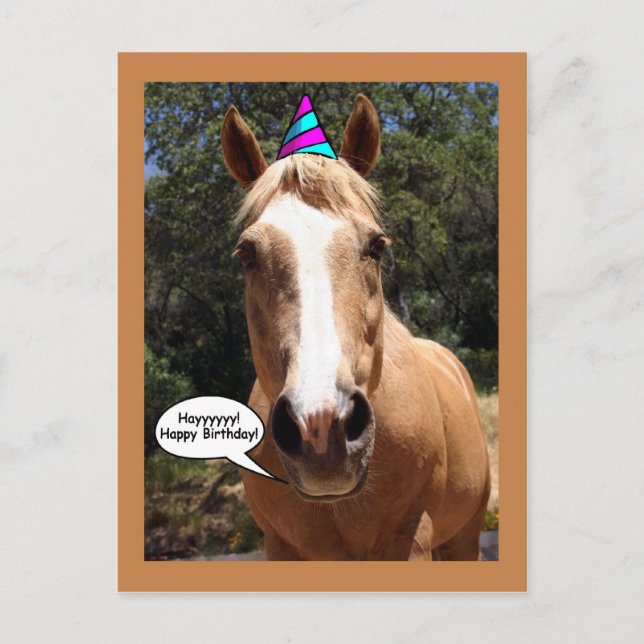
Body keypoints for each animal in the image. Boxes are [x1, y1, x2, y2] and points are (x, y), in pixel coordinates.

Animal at [220, 94, 490, 560]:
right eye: (246, 255)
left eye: (376, 246)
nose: (320, 426)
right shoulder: (280, 545)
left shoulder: (409, 539)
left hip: (464, 537)